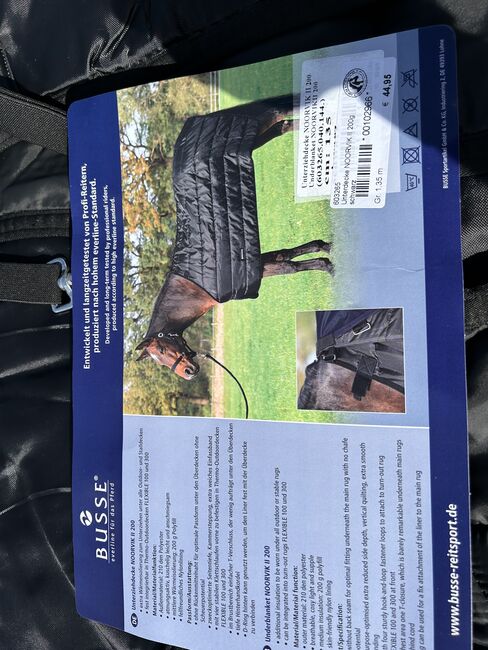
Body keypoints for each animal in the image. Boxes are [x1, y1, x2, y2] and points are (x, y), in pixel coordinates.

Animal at [136, 96, 334, 379]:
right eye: (159, 360)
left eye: (162, 350)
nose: (189, 371)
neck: (194, 284)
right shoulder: (257, 262)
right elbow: (289, 255)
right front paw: (326, 250)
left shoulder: (253, 269)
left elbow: (290, 267)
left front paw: (328, 267)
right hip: (263, 132)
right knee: (287, 124)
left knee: (288, 111)